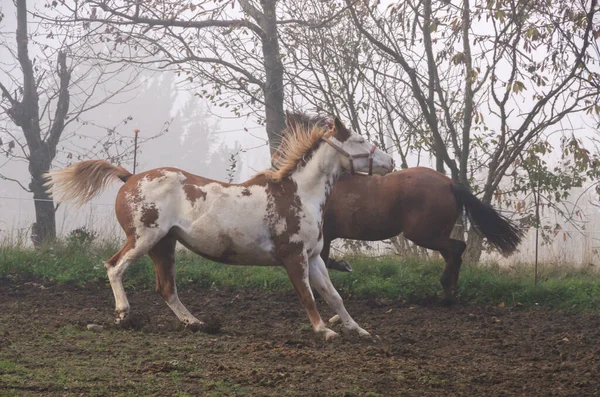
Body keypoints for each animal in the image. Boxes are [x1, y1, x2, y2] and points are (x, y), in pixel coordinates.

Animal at [45, 114, 394, 340]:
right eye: (360, 140)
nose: (390, 162)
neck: (299, 194)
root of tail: (129, 177)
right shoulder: (293, 257)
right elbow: (307, 296)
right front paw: (325, 330)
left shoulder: (315, 257)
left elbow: (335, 297)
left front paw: (360, 330)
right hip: (144, 238)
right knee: (114, 267)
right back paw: (123, 314)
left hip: (163, 245)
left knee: (166, 288)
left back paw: (196, 323)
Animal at [282, 111, 520, 300]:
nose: (390, 162)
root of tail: (450, 183)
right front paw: (343, 267)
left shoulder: (324, 237)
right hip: (436, 234)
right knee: (454, 254)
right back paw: (450, 292)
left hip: (423, 234)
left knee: (457, 248)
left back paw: (445, 288)